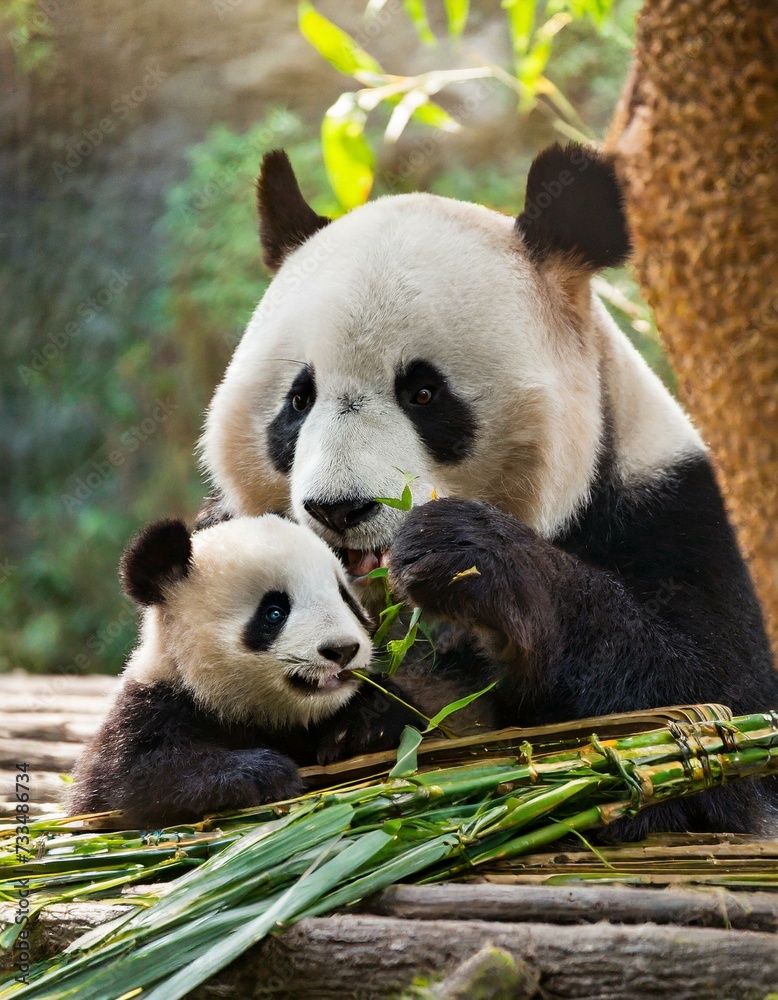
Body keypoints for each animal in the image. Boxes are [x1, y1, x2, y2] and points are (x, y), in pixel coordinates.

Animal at [70, 515, 416, 828]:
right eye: (274, 612)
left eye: (346, 600)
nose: (343, 650)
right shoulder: (149, 708)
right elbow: (133, 780)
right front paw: (261, 774)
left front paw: (362, 724)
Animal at [199, 143, 778, 838]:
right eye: (298, 400)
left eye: (424, 393)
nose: (337, 509)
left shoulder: (673, 512)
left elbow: (711, 718)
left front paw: (465, 556)